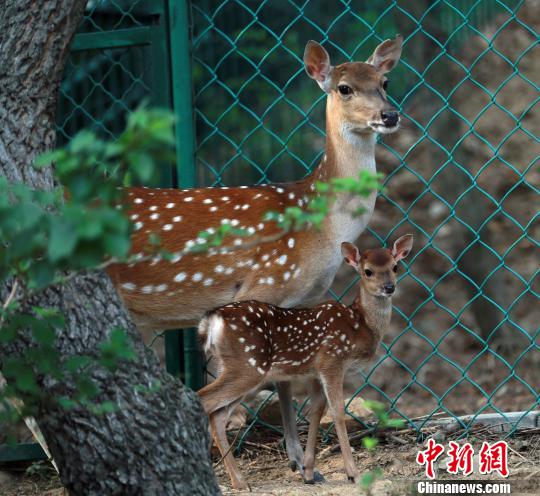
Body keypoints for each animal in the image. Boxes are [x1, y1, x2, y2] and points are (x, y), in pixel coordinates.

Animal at [198, 235, 414, 488]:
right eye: (368, 271)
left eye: (395, 267)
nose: (389, 287)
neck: (361, 325)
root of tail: (211, 322)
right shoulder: (332, 361)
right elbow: (337, 412)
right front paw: (354, 474)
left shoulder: (315, 372)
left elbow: (316, 412)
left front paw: (309, 472)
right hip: (248, 365)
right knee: (204, 400)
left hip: (234, 367)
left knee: (218, 415)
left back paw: (239, 481)